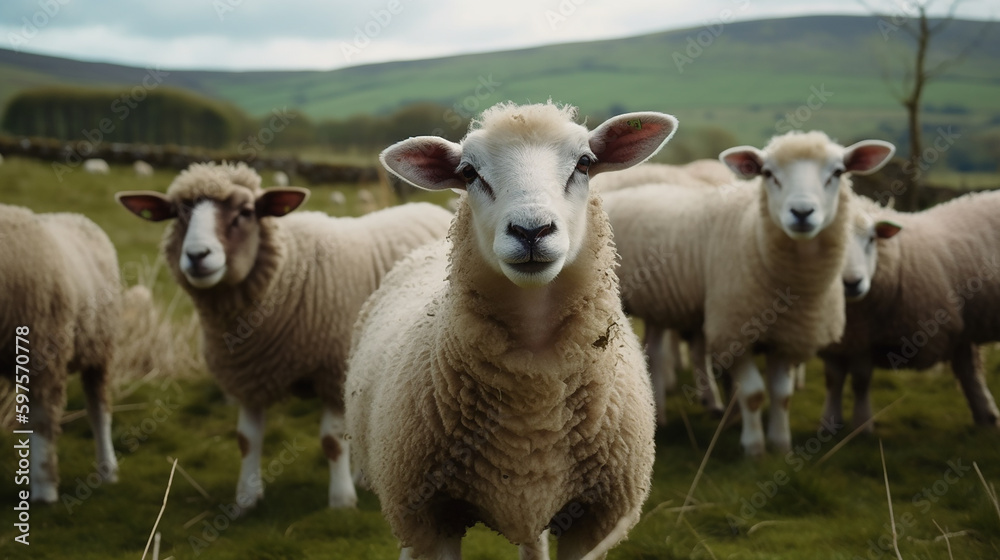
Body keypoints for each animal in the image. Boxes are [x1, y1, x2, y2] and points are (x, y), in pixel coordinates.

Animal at [0, 205, 122, 504]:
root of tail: (77, 216)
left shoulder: (44, 354)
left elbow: (43, 422)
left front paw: (44, 489)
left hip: (99, 348)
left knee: (98, 408)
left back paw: (107, 468)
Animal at [114, 160, 454, 510]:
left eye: (246, 212)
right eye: (178, 213)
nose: (197, 255)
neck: (286, 269)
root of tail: (426, 206)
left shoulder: (332, 372)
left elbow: (333, 440)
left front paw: (341, 499)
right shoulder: (247, 377)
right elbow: (246, 440)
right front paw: (246, 497)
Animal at [348, 101, 676, 560]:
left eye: (585, 163)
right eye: (469, 172)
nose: (531, 230)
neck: (532, 400)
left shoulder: (594, 519)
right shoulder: (434, 514)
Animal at [596, 131, 896, 456]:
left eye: (838, 172)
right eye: (768, 174)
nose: (802, 213)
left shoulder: (789, 336)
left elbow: (782, 394)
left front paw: (780, 444)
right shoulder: (734, 331)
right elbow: (753, 393)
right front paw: (754, 447)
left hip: (660, 304)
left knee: (655, 351)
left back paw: (664, 413)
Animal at [820, 190, 1000, 430]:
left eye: (871, 239)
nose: (851, 283)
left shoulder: (868, 339)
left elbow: (860, 381)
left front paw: (862, 425)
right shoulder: (838, 343)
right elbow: (833, 380)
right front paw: (829, 423)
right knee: (969, 371)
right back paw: (986, 420)